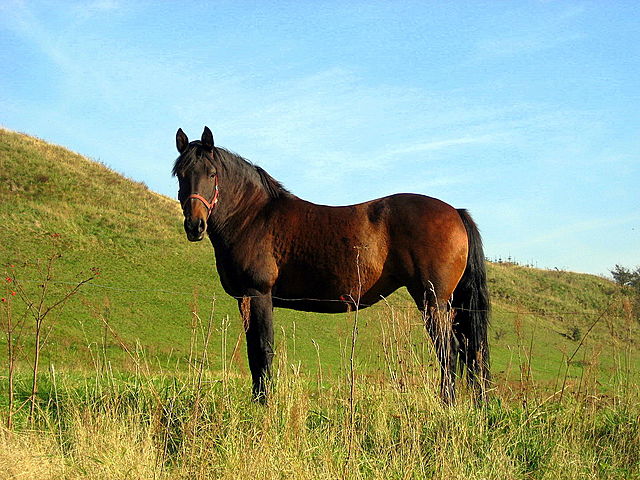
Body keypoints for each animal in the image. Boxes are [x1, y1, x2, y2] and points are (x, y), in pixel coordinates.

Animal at [173, 126, 490, 404]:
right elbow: (255, 353)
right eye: (180, 174)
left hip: (432, 301)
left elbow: (262, 350)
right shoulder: (246, 299)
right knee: (467, 351)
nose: (194, 226)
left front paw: (263, 403)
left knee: (449, 351)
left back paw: (447, 405)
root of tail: (455, 212)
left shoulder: (257, 294)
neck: (254, 216)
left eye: (212, 173)